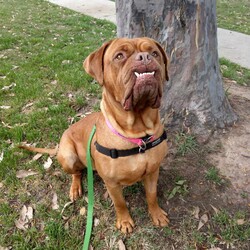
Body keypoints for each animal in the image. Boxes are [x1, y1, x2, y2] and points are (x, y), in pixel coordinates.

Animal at [20, 38, 169, 233]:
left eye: (154, 53)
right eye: (119, 56)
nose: (144, 57)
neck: (137, 133)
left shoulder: (152, 172)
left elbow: (151, 196)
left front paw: (156, 214)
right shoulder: (112, 184)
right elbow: (120, 203)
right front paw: (124, 221)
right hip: (68, 155)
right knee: (76, 173)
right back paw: (75, 188)